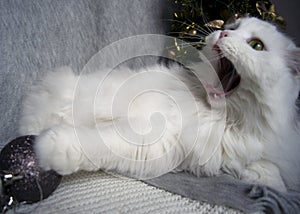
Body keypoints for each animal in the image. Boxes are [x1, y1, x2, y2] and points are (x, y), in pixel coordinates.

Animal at [18, 17, 300, 192]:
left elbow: (269, 170)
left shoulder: (155, 143)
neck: (210, 110)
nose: (223, 32)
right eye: (233, 25)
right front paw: (43, 146)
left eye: (256, 45)